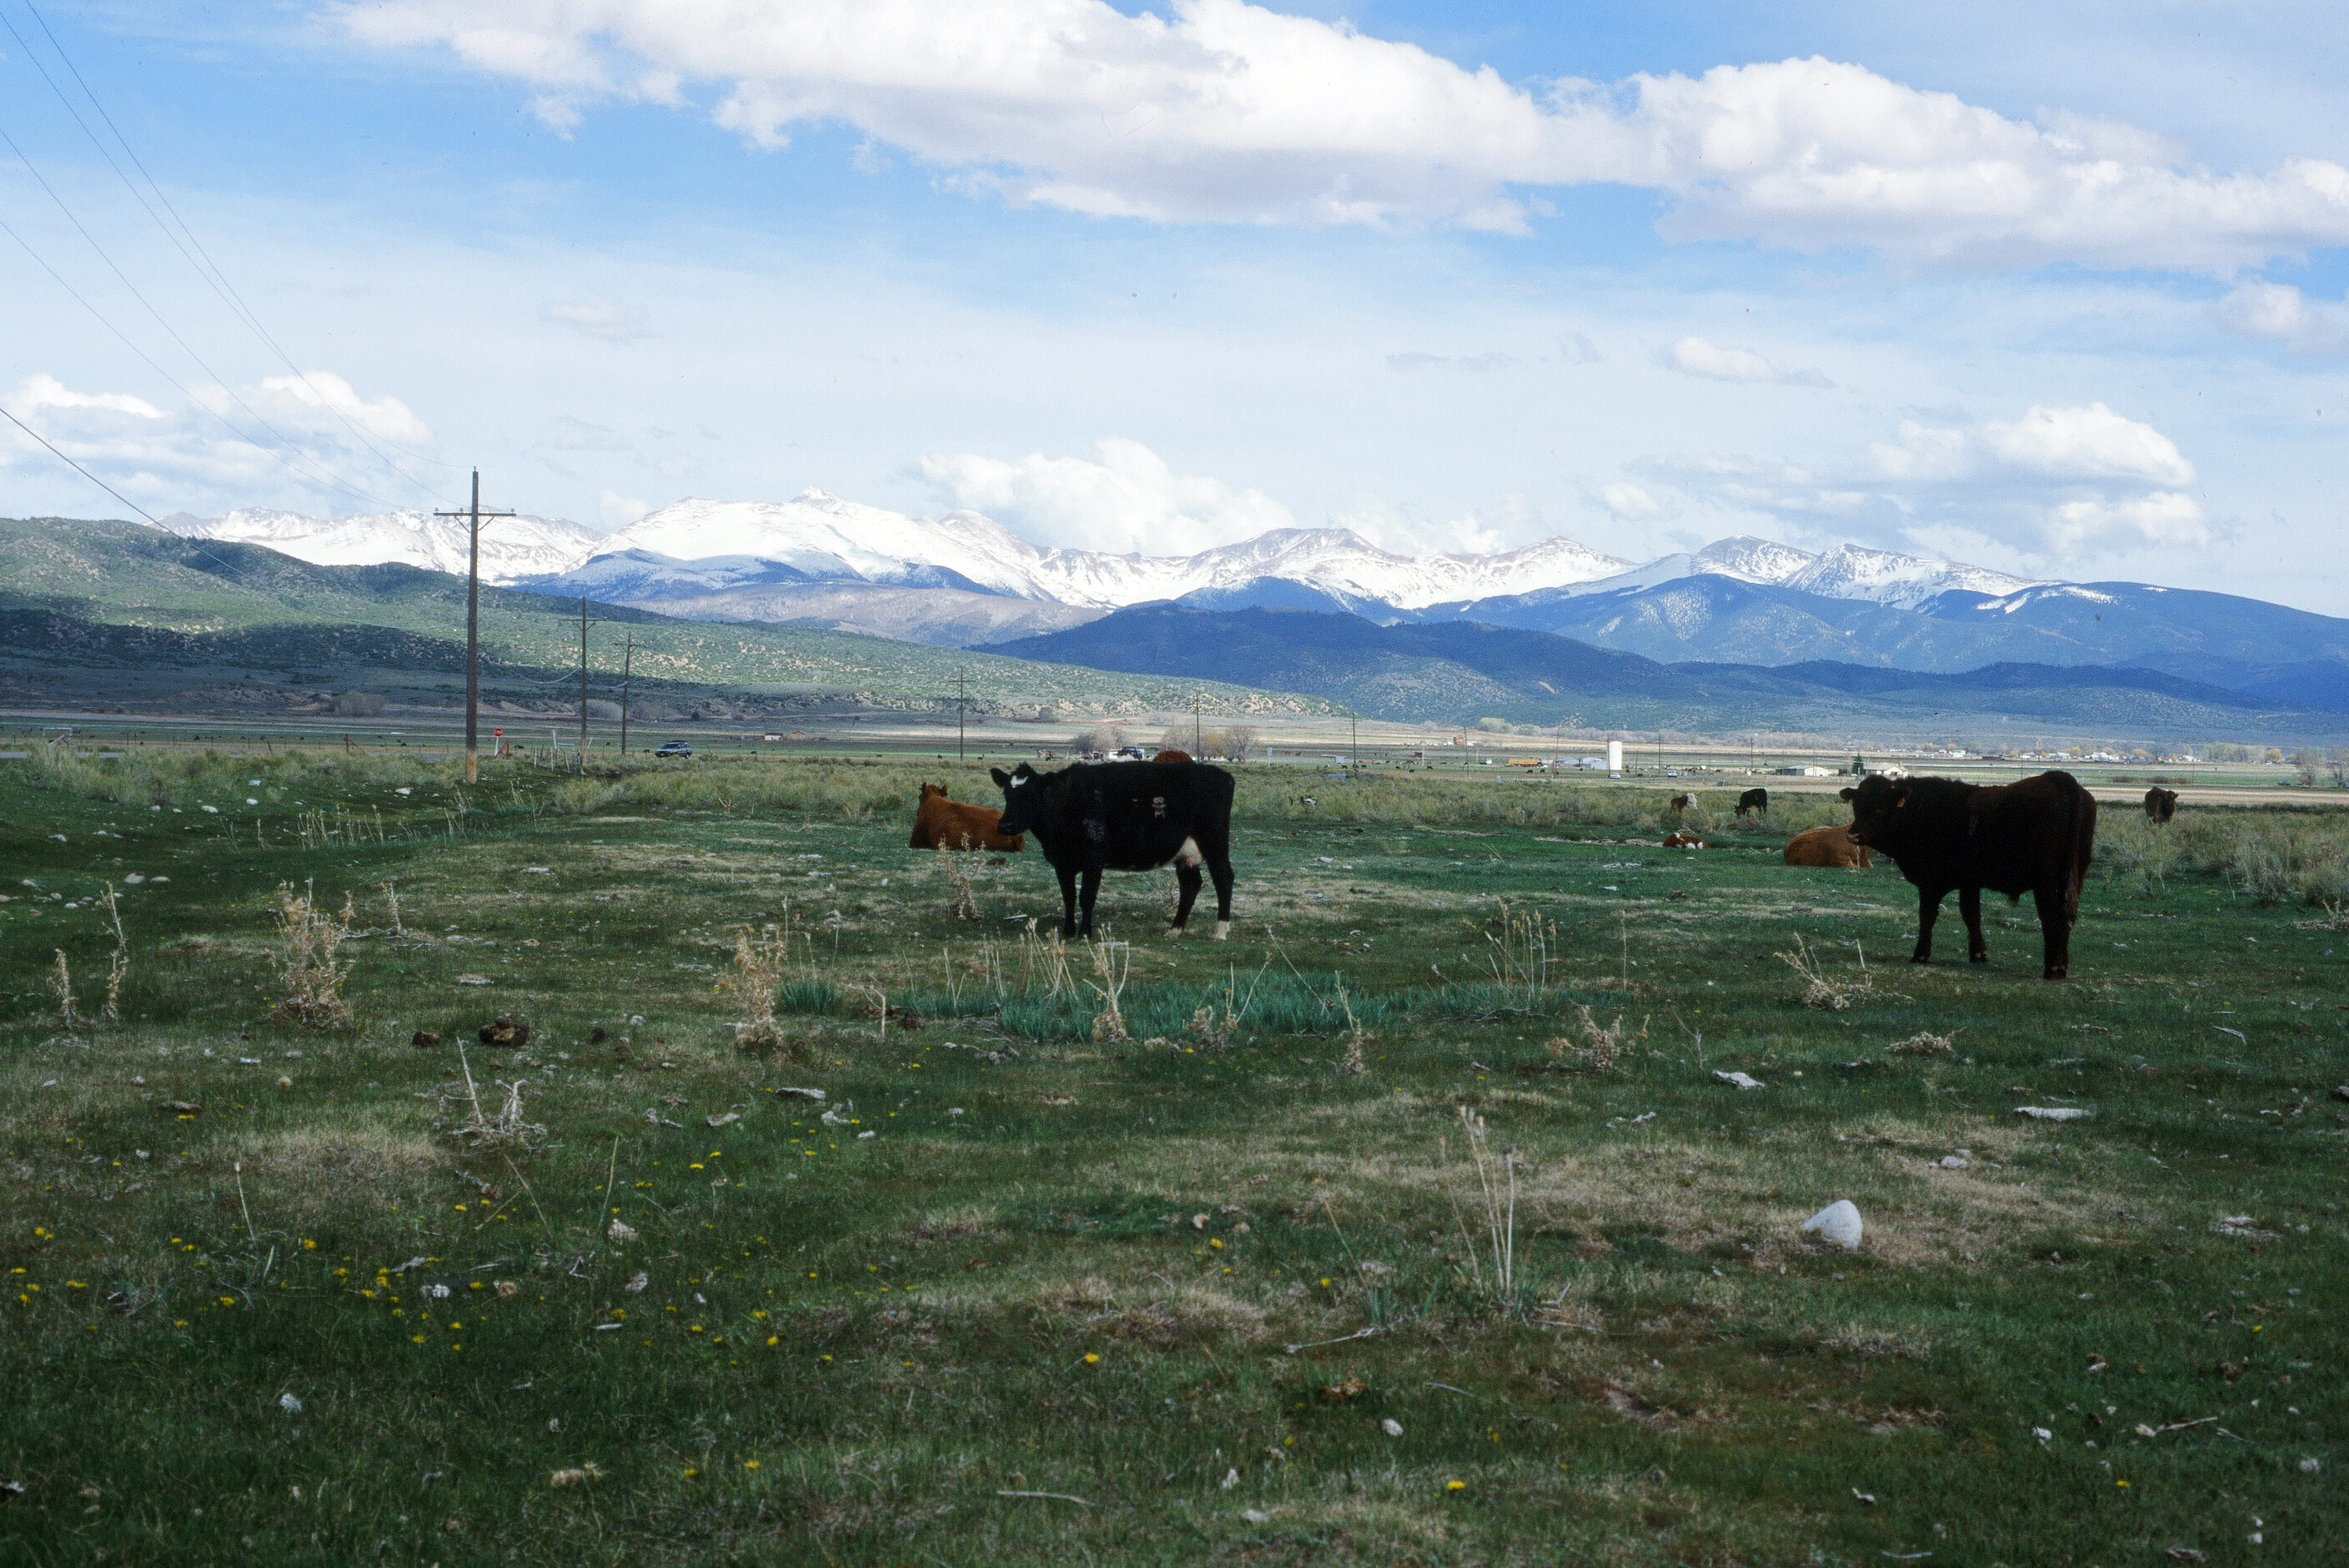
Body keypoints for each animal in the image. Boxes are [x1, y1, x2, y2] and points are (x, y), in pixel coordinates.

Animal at [990, 760, 1236, 939]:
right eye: (1006, 794)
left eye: (1031, 795)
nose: (1005, 825)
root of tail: (1222, 775)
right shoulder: (1062, 863)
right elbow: (1069, 897)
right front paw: (1068, 932)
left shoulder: (1094, 860)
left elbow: (1086, 897)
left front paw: (1085, 933)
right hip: (1185, 853)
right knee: (1190, 885)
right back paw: (1175, 930)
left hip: (1214, 842)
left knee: (1223, 878)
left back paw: (1220, 931)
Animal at [1840, 770, 2097, 980]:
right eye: (1856, 806)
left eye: (1880, 807)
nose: (1853, 835)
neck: (1922, 810)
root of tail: (2057, 779)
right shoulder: (1970, 882)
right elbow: (1971, 914)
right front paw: (1978, 954)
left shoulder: (1930, 883)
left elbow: (1927, 917)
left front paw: (1920, 955)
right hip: (2074, 877)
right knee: (2067, 917)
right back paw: (2062, 967)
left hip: (2047, 883)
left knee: (2052, 918)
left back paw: (2053, 969)